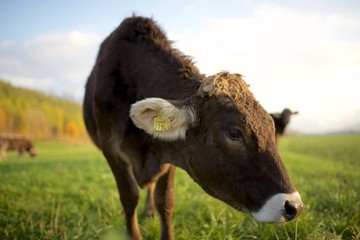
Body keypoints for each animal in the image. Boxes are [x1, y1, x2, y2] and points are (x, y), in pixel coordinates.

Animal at [82, 15, 304, 239]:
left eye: (271, 127)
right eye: (234, 133)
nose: (293, 205)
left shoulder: (168, 150)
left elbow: (165, 201)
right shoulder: (110, 148)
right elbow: (129, 197)